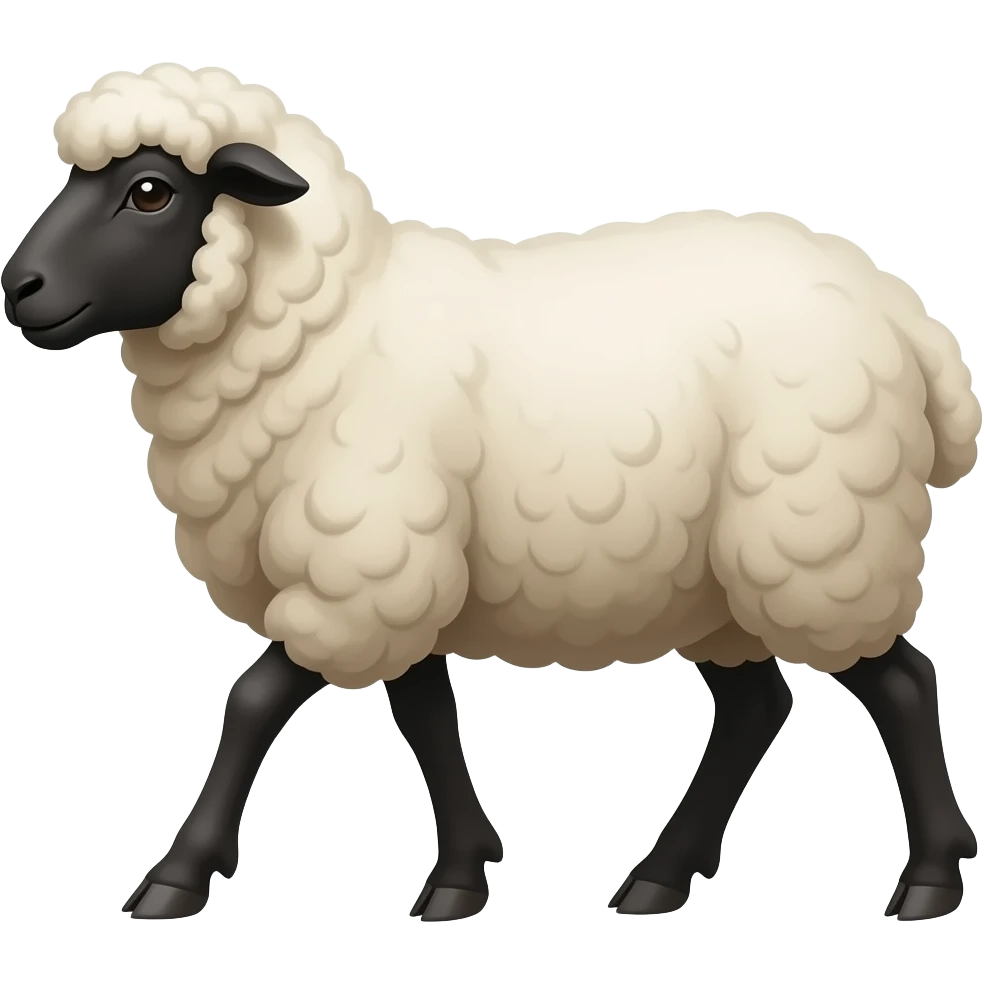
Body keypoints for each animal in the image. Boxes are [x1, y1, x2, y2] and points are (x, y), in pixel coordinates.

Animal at [3, 62, 979, 926]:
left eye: (150, 192)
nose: (20, 288)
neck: (330, 323)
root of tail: (909, 315)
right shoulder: (406, 567)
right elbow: (427, 714)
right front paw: (461, 878)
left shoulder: (359, 563)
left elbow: (251, 702)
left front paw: (175, 879)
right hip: (714, 580)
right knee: (756, 707)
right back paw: (659, 881)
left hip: (818, 535)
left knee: (900, 683)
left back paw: (928, 882)